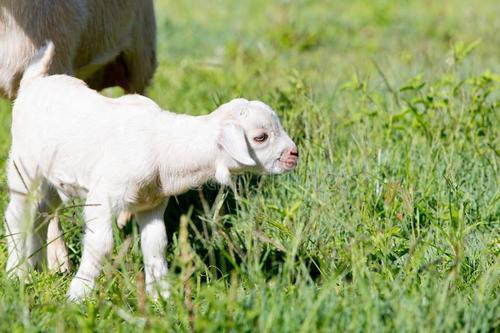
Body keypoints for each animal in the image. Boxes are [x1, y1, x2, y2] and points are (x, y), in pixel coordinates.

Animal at [3, 42, 298, 300]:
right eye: (260, 137)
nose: (294, 155)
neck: (163, 147)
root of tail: (33, 82)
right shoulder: (103, 196)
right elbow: (101, 245)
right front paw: (78, 295)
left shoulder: (151, 204)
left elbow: (156, 246)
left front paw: (161, 296)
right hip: (24, 166)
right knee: (17, 215)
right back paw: (16, 273)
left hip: (51, 179)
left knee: (40, 214)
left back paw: (35, 267)